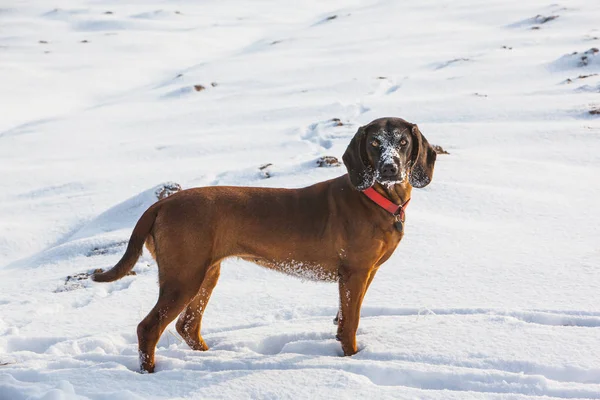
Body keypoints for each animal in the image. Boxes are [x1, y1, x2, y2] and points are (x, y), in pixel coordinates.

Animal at [92, 115, 436, 372]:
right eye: (375, 143)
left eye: (403, 142)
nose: (390, 168)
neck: (377, 198)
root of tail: (161, 204)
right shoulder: (354, 273)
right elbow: (350, 322)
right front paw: (351, 358)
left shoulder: (364, 274)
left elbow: (344, 319)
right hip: (183, 277)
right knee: (149, 328)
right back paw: (150, 373)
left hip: (206, 273)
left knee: (187, 325)